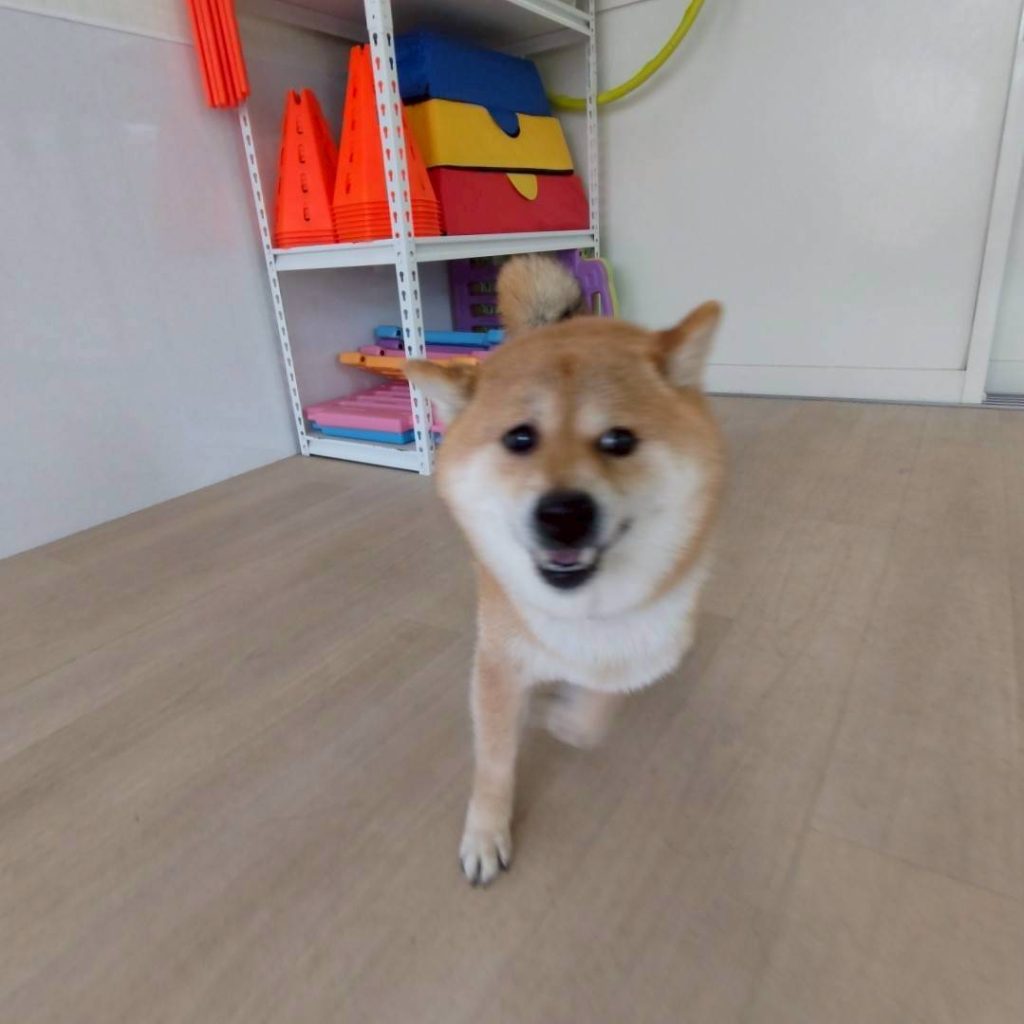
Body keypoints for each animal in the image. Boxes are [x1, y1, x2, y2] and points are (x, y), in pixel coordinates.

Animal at [405, 256, 725, 886]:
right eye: (519, 438)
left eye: (618, 439)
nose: (563, 514)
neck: (584, 613)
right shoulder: (497, 663)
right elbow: (495, 761)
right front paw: (486, 832)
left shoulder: (643, 645)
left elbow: (598, 703)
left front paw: (568, 718)